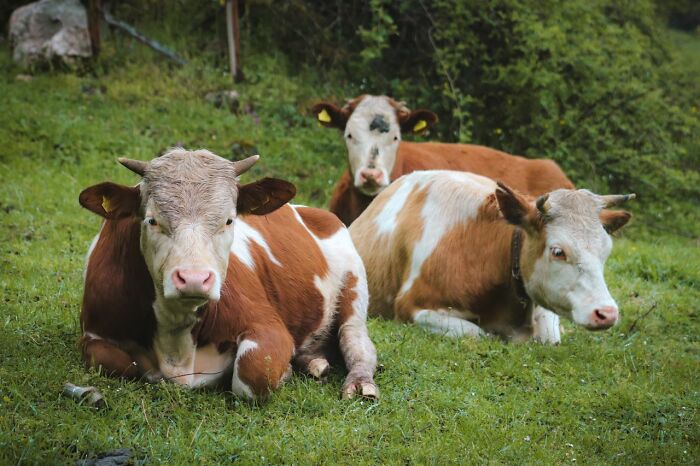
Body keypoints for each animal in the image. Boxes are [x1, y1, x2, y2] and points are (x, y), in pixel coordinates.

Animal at [78, 148, 378, 401]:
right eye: (152, 220)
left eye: (229, 220)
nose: (194, 279)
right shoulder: (93, 329)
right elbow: (117, 362)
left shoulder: (267, 325)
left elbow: (253, 373)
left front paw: (284, 372)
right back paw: (313, 362)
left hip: (354, 288)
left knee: (357, 342)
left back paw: (360, 382)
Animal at [348, 170, 634, 343]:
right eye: (558, 251)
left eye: (606, 250)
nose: (606, 313)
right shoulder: (410, 307)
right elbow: (477, 334)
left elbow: (550, 338)